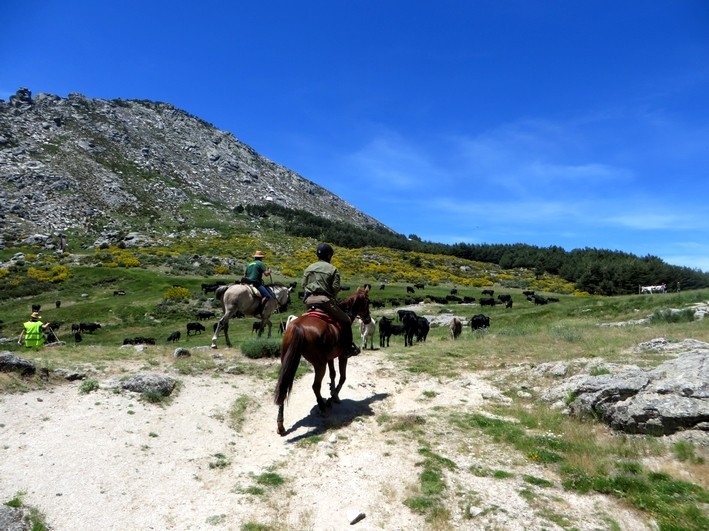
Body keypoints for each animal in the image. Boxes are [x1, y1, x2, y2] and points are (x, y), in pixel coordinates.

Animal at [272, 290, 370, 436]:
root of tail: (297, 326)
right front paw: (333, 397)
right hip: (319, 364)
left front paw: (333, 392)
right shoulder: (342, 356)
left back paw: (280, 424)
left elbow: (333, 374)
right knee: (315, 386)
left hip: (287, 360)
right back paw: (323, 407)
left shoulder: (329, 358)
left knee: (283, 386)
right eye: (367, 302)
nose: (368, 319)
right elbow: (342, 377)